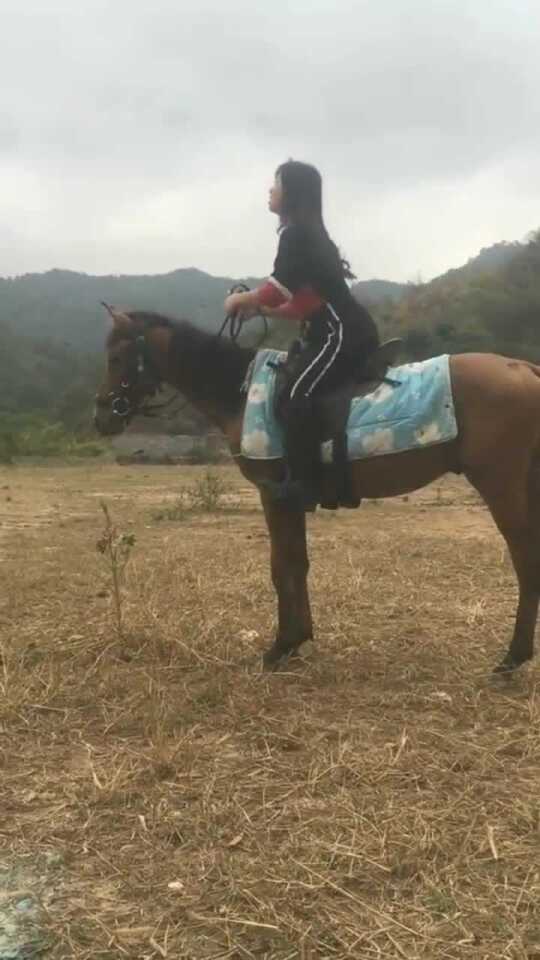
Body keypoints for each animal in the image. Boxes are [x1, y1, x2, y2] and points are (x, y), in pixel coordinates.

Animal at [93, 305, 540, 674]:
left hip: (499, 484)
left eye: (116, 358)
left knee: (525, 559)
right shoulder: (291, 500)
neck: (241, 392)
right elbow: (298, 564)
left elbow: (281, 567)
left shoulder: (273, 495)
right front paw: (299, 639)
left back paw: (513, 658)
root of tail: (523, 368)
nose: (102, 418)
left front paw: (280, 646)